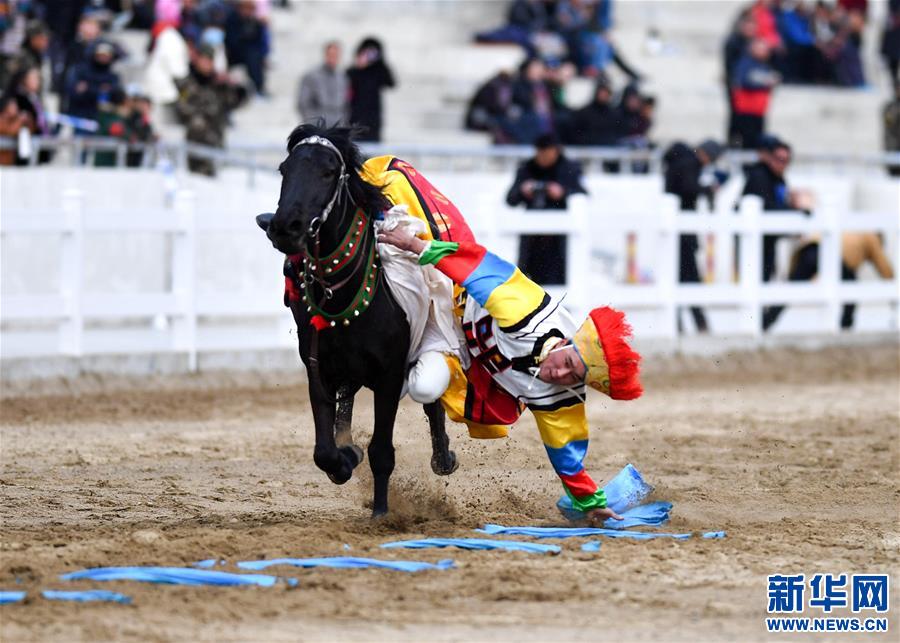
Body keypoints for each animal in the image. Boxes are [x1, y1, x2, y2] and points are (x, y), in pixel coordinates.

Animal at [256, 124, 460, 520]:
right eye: (285, 169)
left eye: (328, 172)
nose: (286, 227)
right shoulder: (318, 367)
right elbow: (324, 450)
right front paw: (345, 458)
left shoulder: (390, 374)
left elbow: (382, 450)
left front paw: (381, 511)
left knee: (431, 397)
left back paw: (443, 457)